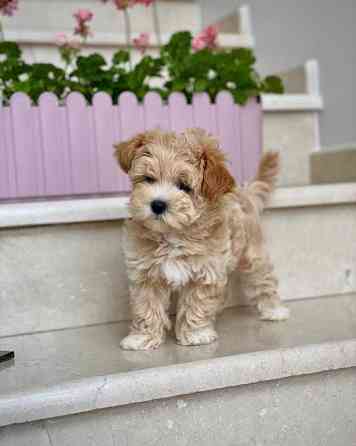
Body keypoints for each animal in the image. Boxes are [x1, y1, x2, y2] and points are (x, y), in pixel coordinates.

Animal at [114, 127, 290, 350]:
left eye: (184, 186)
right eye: (148, 179)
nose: (157, 204)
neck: (173, 233)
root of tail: (244, 192)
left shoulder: (206, 272)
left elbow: (196, 304)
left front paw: (196, 334)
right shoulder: (145, 275)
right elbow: (146, 307)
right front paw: (142, 337)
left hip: (252, 254)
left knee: (263, 279)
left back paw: (274, 309)